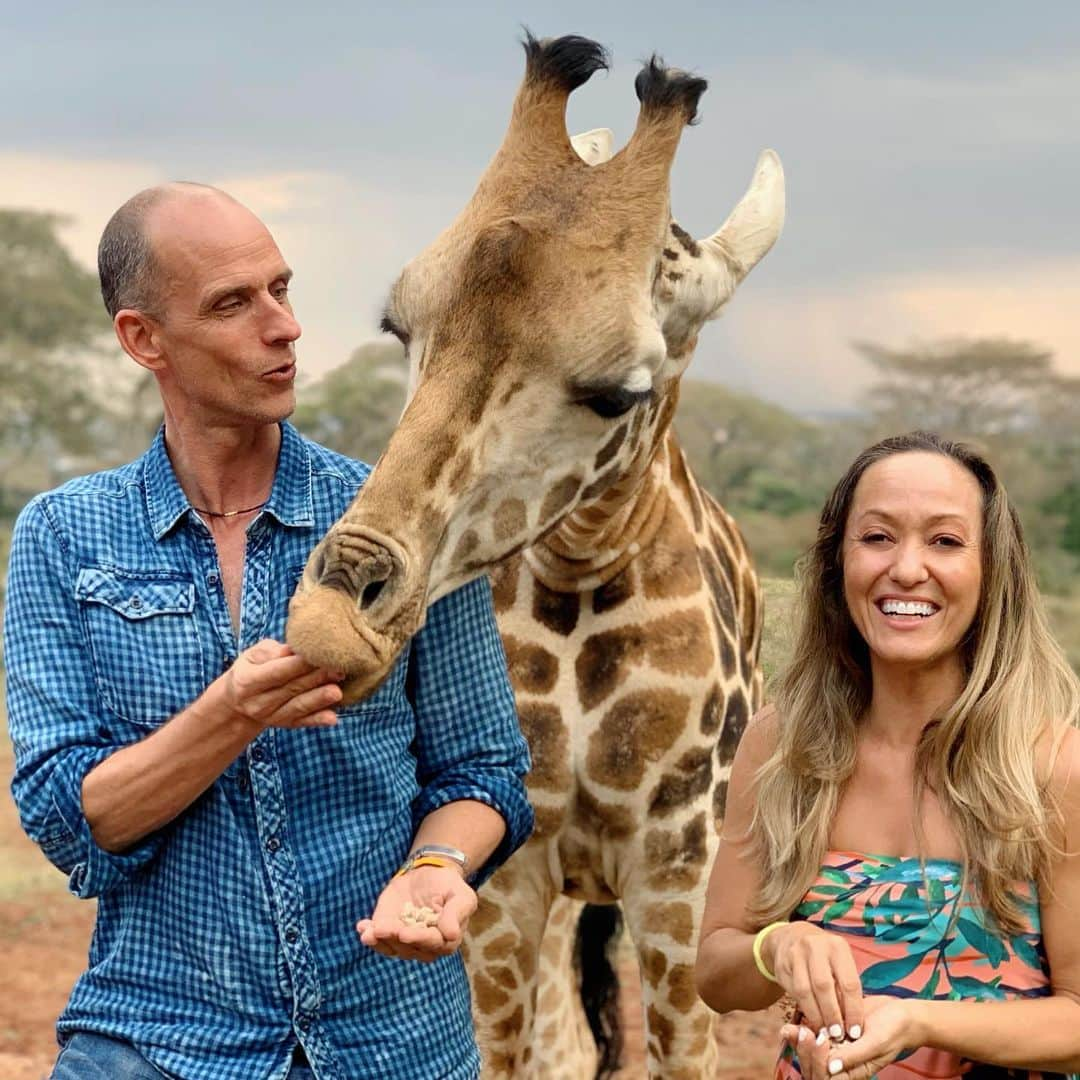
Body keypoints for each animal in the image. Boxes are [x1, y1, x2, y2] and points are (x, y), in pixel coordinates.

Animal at [287, 33, 786, 1080]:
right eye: (399, 327)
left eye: (618, 391)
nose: (334, 618)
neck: (583, 567)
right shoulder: (509, 871)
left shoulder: (681, 863)